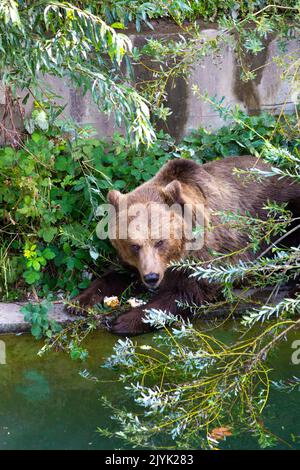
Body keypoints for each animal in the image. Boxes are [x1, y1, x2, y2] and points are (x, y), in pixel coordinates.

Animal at [68, 157, 300, 334]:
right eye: (134, 246)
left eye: (160, 242)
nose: (151, 277)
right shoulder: (135, 264)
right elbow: (115, 274)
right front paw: (78, 302)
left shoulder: (209, 251)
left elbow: (190, 291)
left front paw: (124, 320)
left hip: (283, 208)